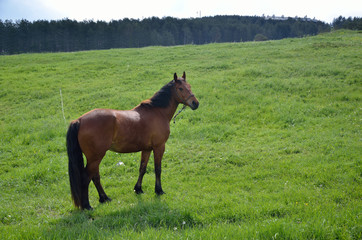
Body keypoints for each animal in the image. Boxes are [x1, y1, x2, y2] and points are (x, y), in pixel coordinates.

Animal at [66, 72, 199, 209]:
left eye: (189, 86)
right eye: (181, 88)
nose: (195, 103)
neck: (157, 111)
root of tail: (79, 120)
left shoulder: (146, 149)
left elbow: (142, 168)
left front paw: (138, 189)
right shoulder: (159, 147)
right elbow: (158, 169)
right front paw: (159, 190)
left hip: (95, 158)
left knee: (95, 176)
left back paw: (104, 198)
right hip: (95, 157)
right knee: (86, 177)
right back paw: (87, 205)